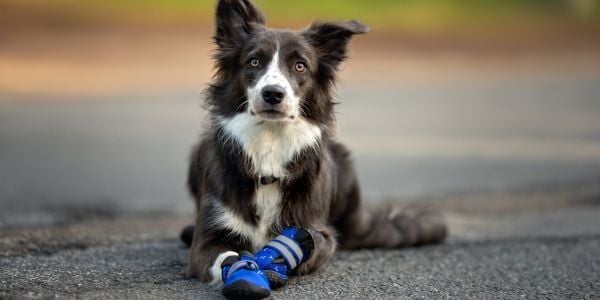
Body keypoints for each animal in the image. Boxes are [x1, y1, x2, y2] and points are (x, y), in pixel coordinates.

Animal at [185, 0, 448, 298]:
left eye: (300, 66)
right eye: (254, 61)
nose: (273, 93)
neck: (270, 145)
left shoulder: (320, 231)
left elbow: (310, 245)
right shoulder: (208, 238)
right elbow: (225, 256)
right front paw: (244, 271)